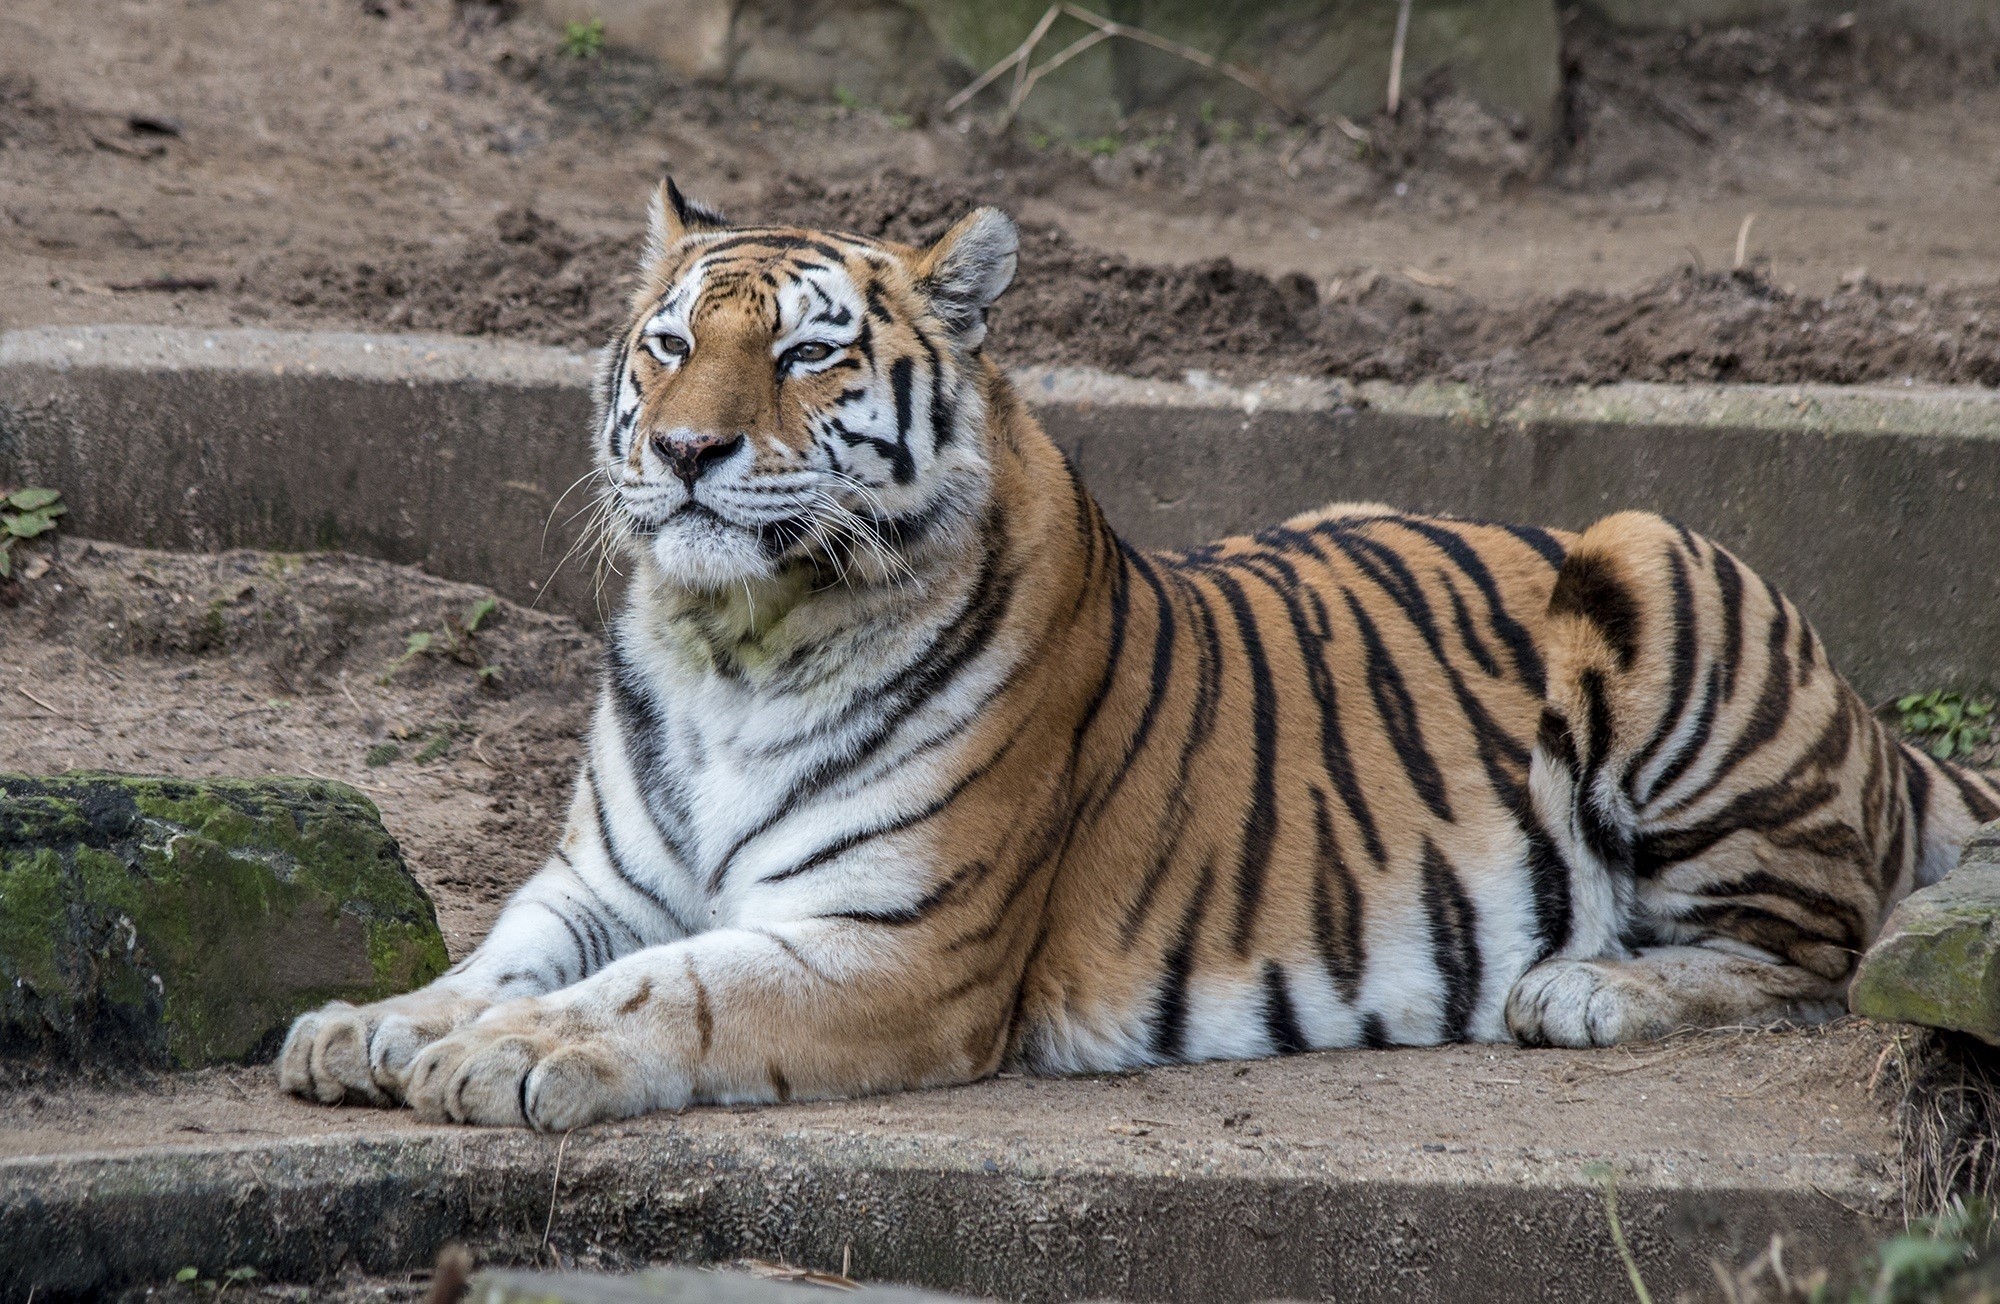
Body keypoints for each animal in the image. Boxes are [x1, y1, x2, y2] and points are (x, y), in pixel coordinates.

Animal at [279, 180, 2000, 1130]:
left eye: (811, 352)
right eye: (667, 342)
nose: (688, 453)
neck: (730, 642)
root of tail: (1880, 735)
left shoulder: (896, 944)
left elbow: (666, 994)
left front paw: (510, 1056)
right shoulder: (602, 881)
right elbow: (506, 953)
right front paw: (377, 1025)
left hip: (1657, 560)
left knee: (1814, 951)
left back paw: (1583, 989)